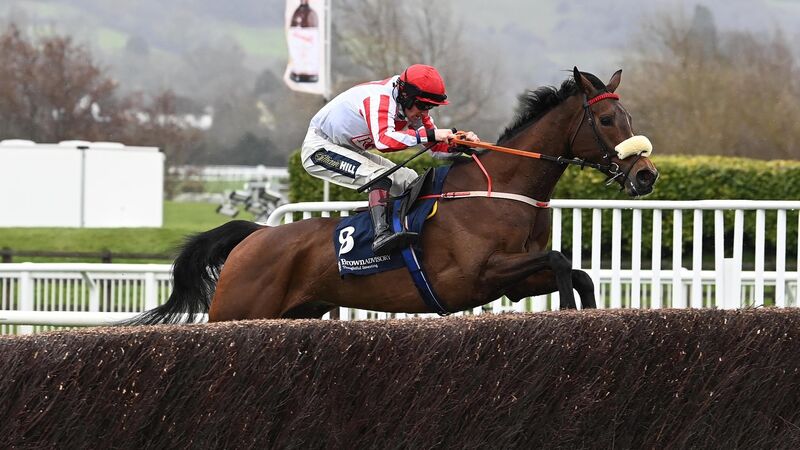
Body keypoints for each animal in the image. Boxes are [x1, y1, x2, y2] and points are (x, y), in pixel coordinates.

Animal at [129, 67, 659, 324]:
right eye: (607, 120)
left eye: (629, 116)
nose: (647, 175)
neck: (501, 191)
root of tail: (256, 237)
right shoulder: (480, 273)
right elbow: (560, 260)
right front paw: (567, 314)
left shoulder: (513, 280)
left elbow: (577, 271)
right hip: (239, 306)